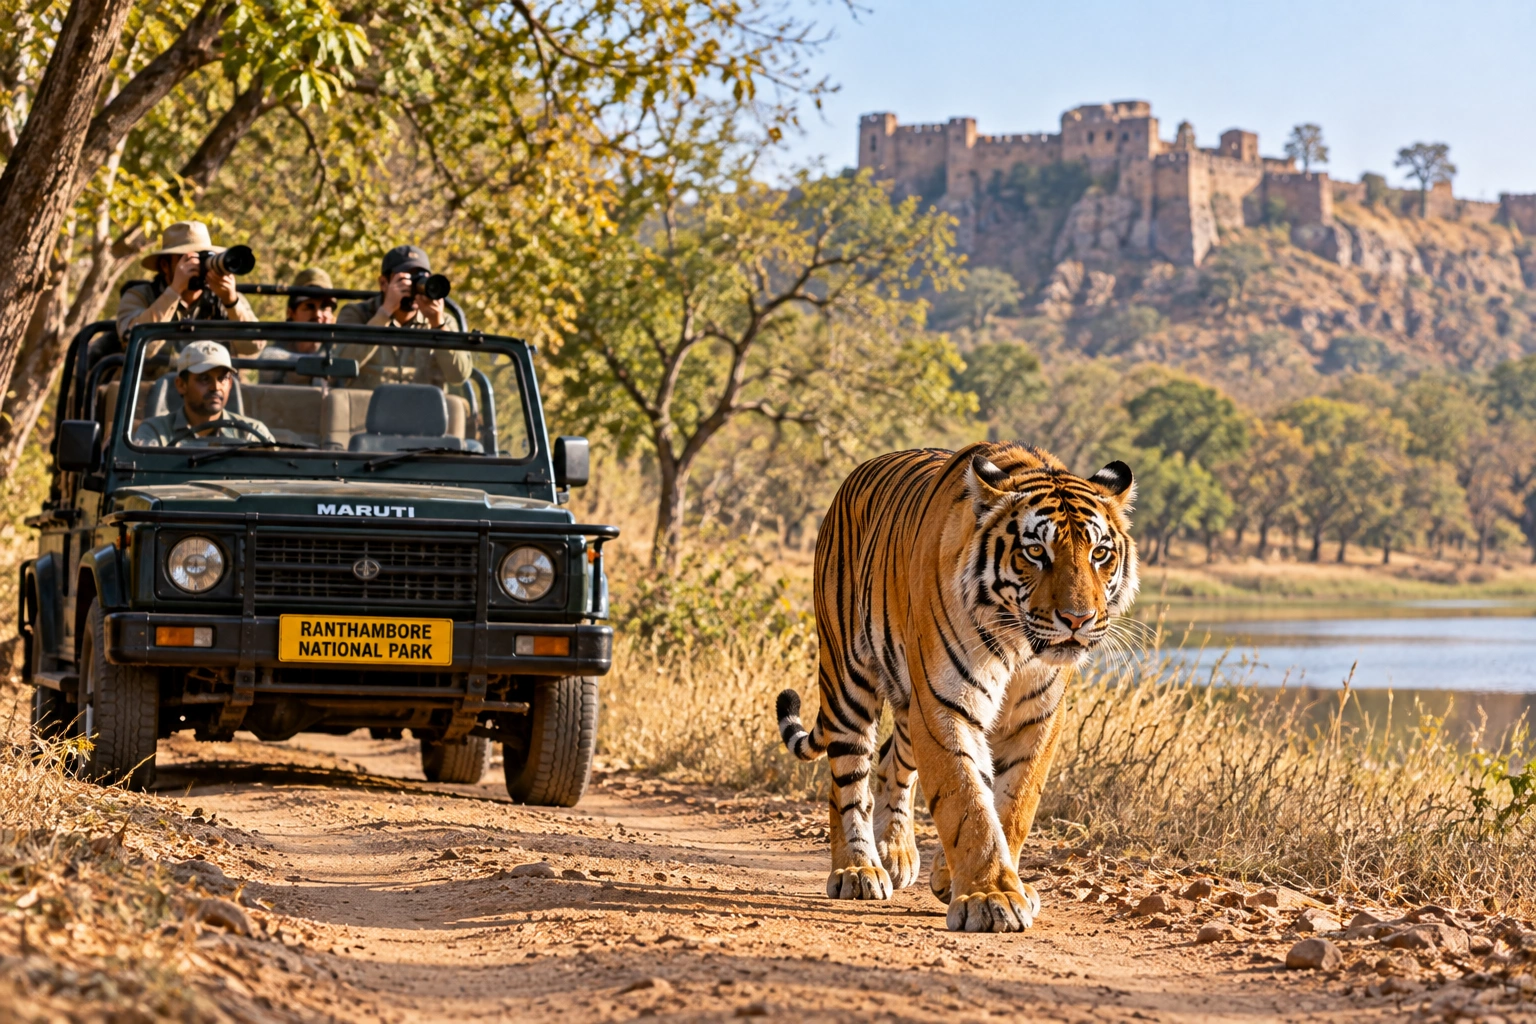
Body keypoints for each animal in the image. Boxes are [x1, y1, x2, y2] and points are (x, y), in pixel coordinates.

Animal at [774, 442, 1138, 933]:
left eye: (1100, 553)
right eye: (1035, 551)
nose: (1078, 620)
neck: (1018, 643)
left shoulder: (1038, 717)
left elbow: (1012, 806)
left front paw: (960, 879)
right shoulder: (946, 704)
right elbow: (967, 801)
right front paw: (991, 896)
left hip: (909, 702)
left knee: (890, 761)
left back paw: (896, 853)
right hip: (848, 676)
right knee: (847, 776)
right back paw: (857, 868)